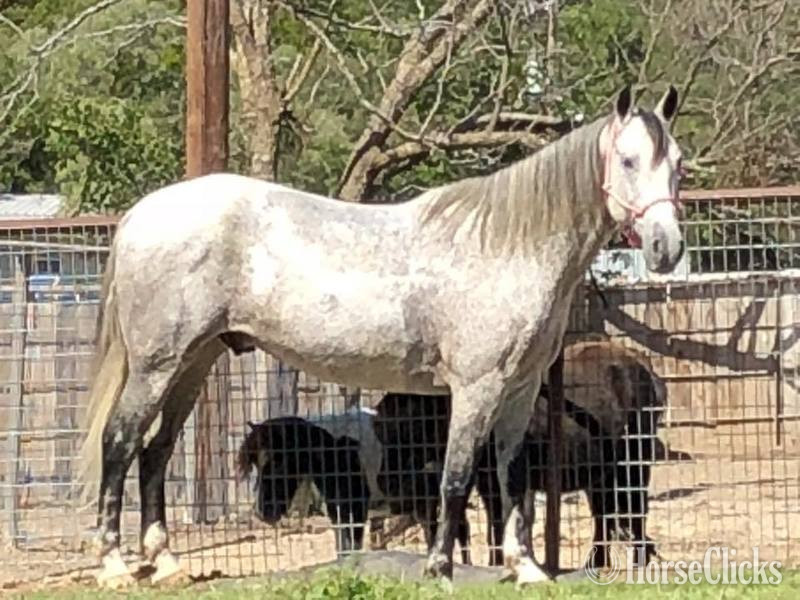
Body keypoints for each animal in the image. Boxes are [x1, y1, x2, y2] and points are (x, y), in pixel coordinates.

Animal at [76, 84, 685, 587]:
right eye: (628, 160)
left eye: (677, 163)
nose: (666, 248)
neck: (506, 246)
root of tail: (140, 216)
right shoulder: (475, 388)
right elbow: (455, 479)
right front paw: (439, 569)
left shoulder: (519, 389)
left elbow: (515, 479)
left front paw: (527, 568)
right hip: (158, 365)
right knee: (120, 443)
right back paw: (115, 566)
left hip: (194, 363)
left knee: (155, 451)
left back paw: (166, 563)